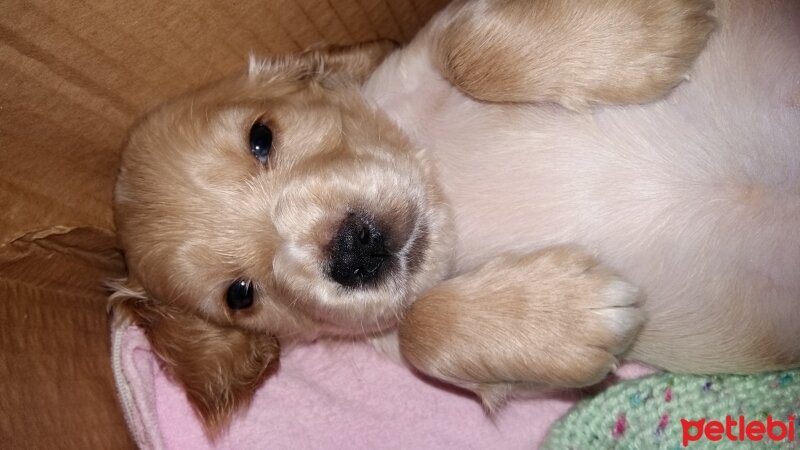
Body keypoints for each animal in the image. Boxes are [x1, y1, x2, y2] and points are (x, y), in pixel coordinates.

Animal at [111, 0, 800, 436]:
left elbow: (464, 48)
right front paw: (565, 312)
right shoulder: (456, 364)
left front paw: (649, 26)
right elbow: (422, 328)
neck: (444, 188)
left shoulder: (432, 42)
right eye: (241, 294)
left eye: (262, 136)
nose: (351, 250)